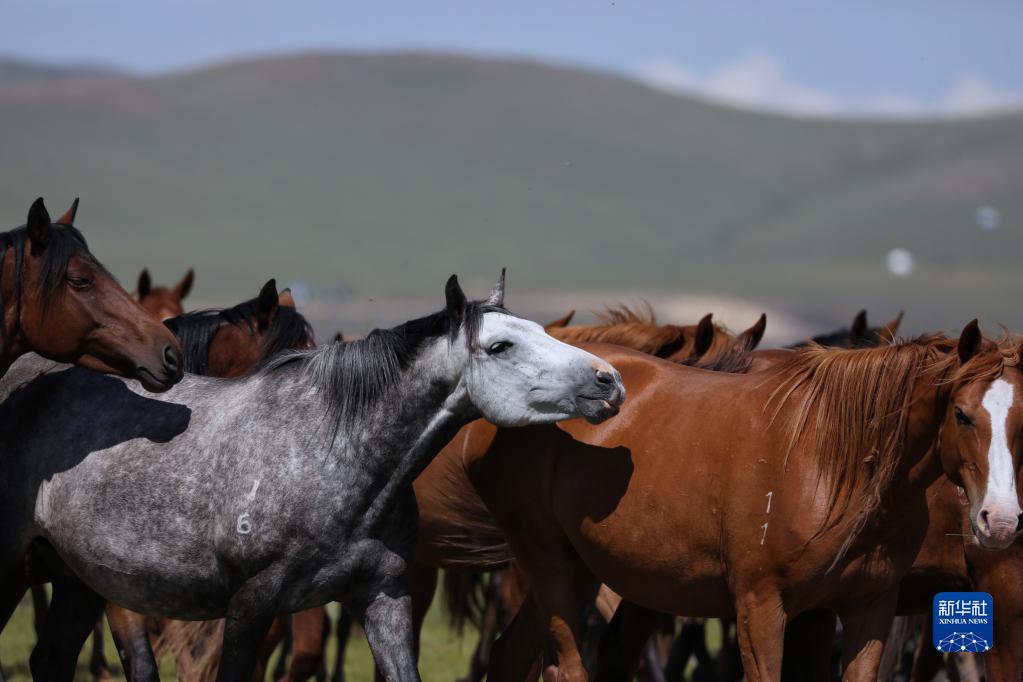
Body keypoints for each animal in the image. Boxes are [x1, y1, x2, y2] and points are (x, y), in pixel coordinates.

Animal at [0, 274, 621, 682]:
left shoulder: (384, 599)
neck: (330, 454)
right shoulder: (249, 607)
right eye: (500, 345)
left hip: (79, 580)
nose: (609, 380)